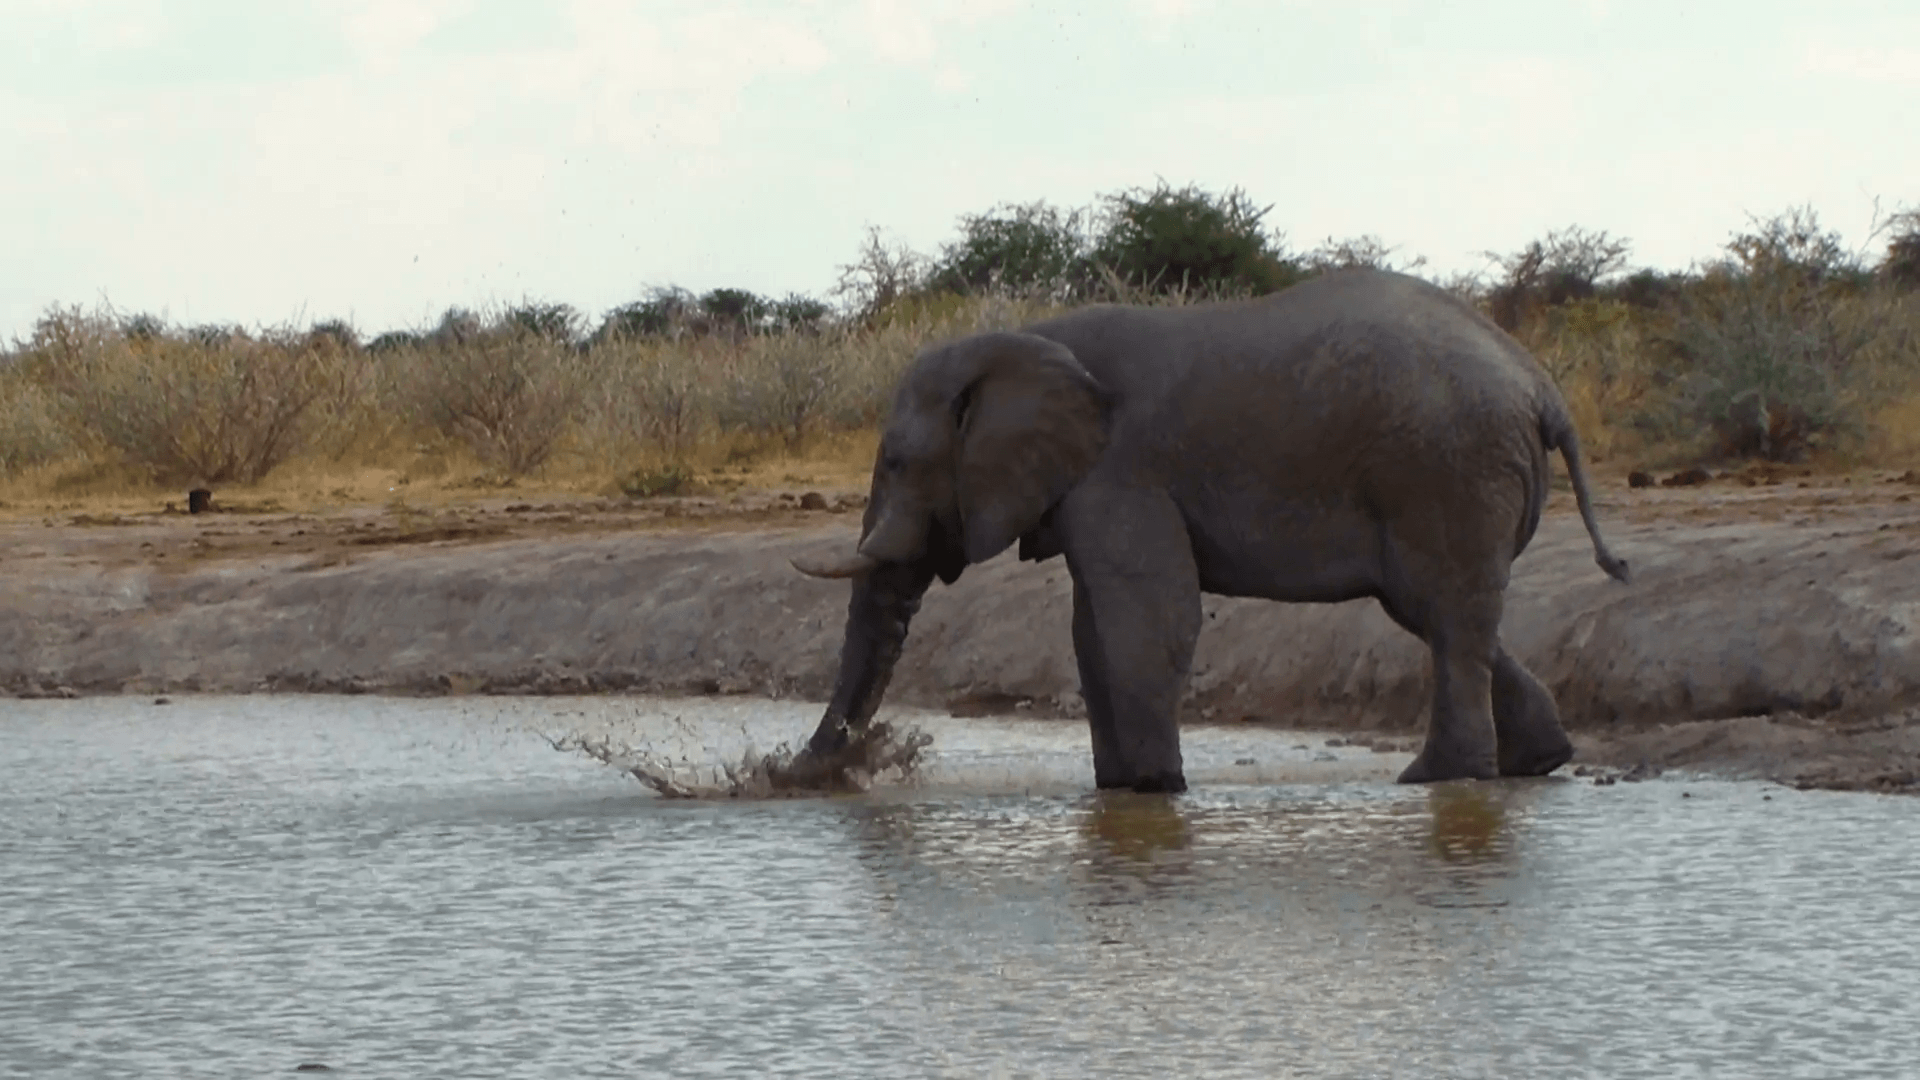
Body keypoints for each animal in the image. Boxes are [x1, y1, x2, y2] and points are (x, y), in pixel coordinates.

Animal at [787, 269, 1628, 791]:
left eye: (899, 463)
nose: (792, 776)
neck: (1025, 338)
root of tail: (1541, 386)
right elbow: (1093, 629)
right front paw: (1119, 789)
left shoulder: (1122, 469)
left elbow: (1145, 615)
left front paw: (1154, 788)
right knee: (1438, 613)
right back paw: (1537, 762)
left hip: (1448, 469)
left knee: (1445, 616)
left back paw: (1436, 779)